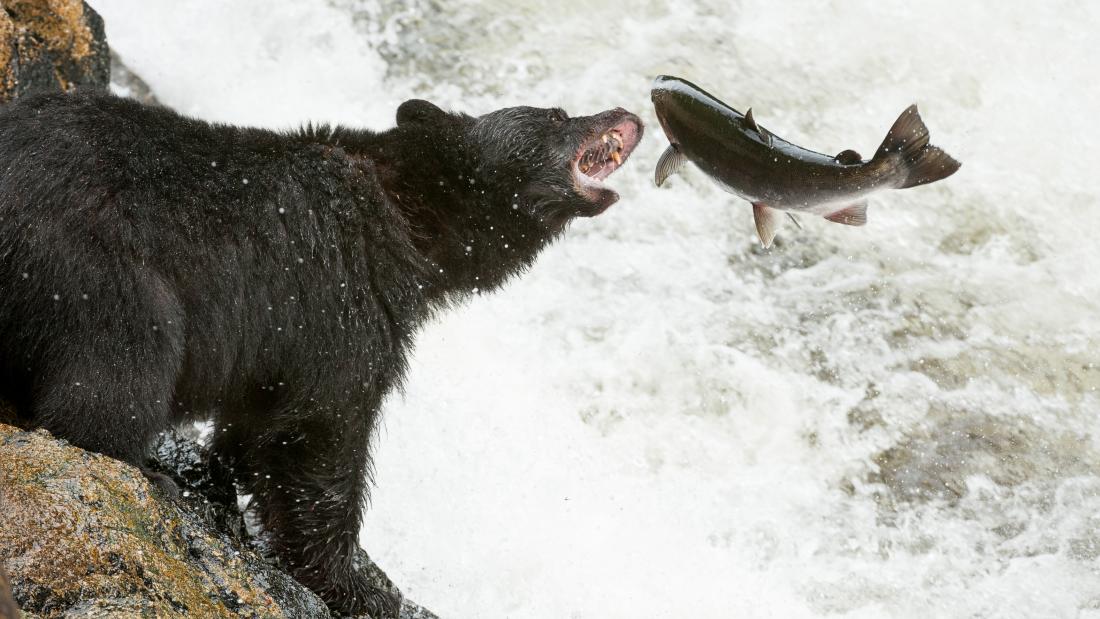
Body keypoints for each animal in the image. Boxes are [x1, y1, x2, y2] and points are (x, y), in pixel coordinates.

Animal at [0, 90, 642, 615]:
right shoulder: (345, 299)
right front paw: (359, 585)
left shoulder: (282, 342)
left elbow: (255, 421)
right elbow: (320, 433)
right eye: (557, 113)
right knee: (123, 371)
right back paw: (142, 469)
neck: (410, 221)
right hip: (93, 267)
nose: (627, 113)